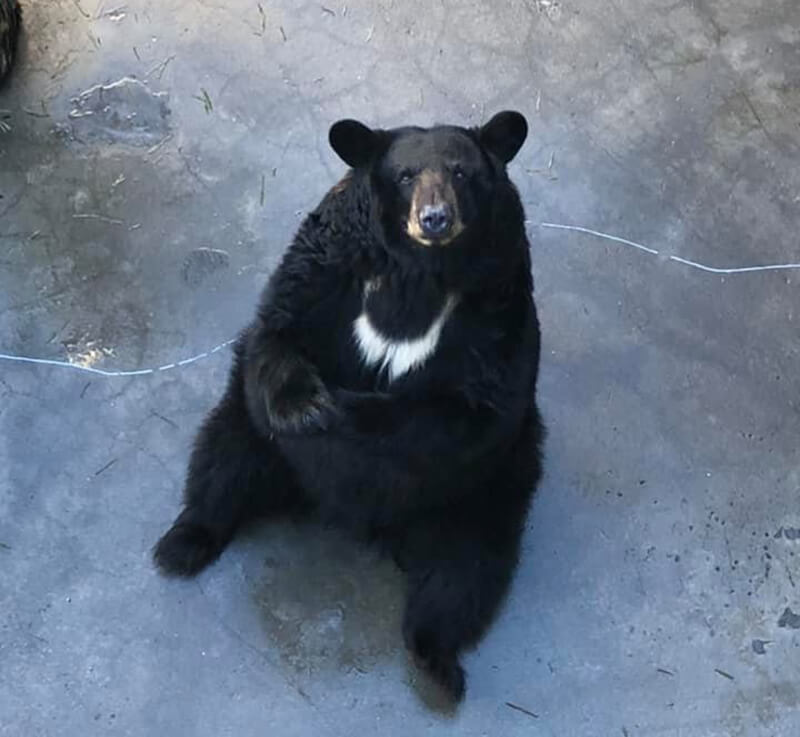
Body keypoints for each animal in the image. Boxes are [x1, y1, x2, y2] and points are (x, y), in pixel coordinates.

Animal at [155, 110, 544, 700]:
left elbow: (470, 409)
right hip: (249, 432)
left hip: (486, 490)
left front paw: (346, 408)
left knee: (465, 570)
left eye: (461, 172)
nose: (434, 219)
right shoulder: (331, 260)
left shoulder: (497, 297)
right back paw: (182, 544)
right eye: (405, 176)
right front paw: (310, 408)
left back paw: (438, 661)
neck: (421, 269)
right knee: (219, 465)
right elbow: (280, 324)